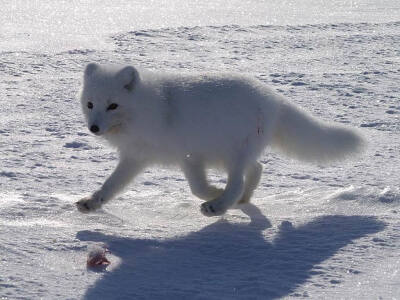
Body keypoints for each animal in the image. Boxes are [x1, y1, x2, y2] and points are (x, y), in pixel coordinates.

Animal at [76, 64, 366, 217]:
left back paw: (220, 204)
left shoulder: (190, 156)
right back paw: (243, 200)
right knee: (257, 169)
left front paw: (214, 193)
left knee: (238, 182)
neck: (152, 109)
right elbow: (111, 185)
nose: (94, 128)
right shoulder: (136, 157)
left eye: (113, 105)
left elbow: (198, 188)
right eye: (90, 104)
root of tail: (272, 97)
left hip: (232, 153)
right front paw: (92, 201)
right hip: (232, 154)